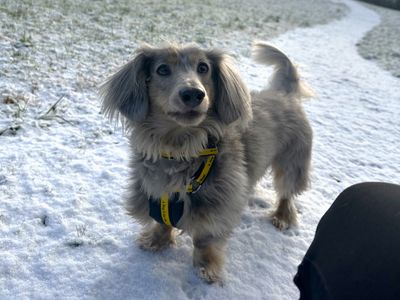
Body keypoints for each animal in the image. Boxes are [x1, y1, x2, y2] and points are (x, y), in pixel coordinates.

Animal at [100, 42, 312, 284]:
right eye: (162, 69)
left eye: (203, 67)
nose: (193, 93)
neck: (181, 148)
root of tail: (286, 94)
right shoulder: (156, 193)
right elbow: (162, 223)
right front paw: (156, 240)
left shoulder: (217, 209)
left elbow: (204, 241)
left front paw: (206, 268)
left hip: (292, 164)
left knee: (286, 192)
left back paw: (282, 216)